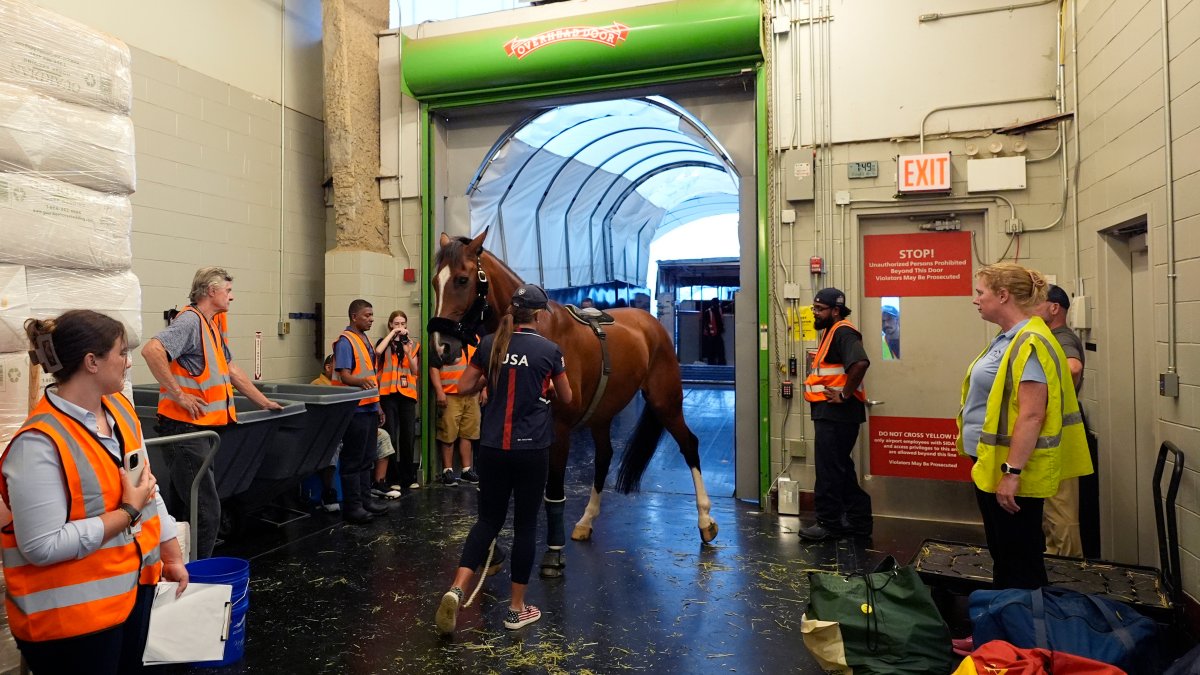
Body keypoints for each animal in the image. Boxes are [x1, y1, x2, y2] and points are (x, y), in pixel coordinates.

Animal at [427, 229, 715, 571]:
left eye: (462, 279)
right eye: (435, 281)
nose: (441, 348)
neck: (531, 331)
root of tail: (651, 324)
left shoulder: (559, 432)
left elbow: (553, 493)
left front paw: (553, 552)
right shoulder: (497, 431)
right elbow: (492, 490)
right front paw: (491, 552)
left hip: (665, 402)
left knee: (690, 445)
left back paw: (705, 520)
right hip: (603, 415)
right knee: (604, 457)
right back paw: (586, 521)